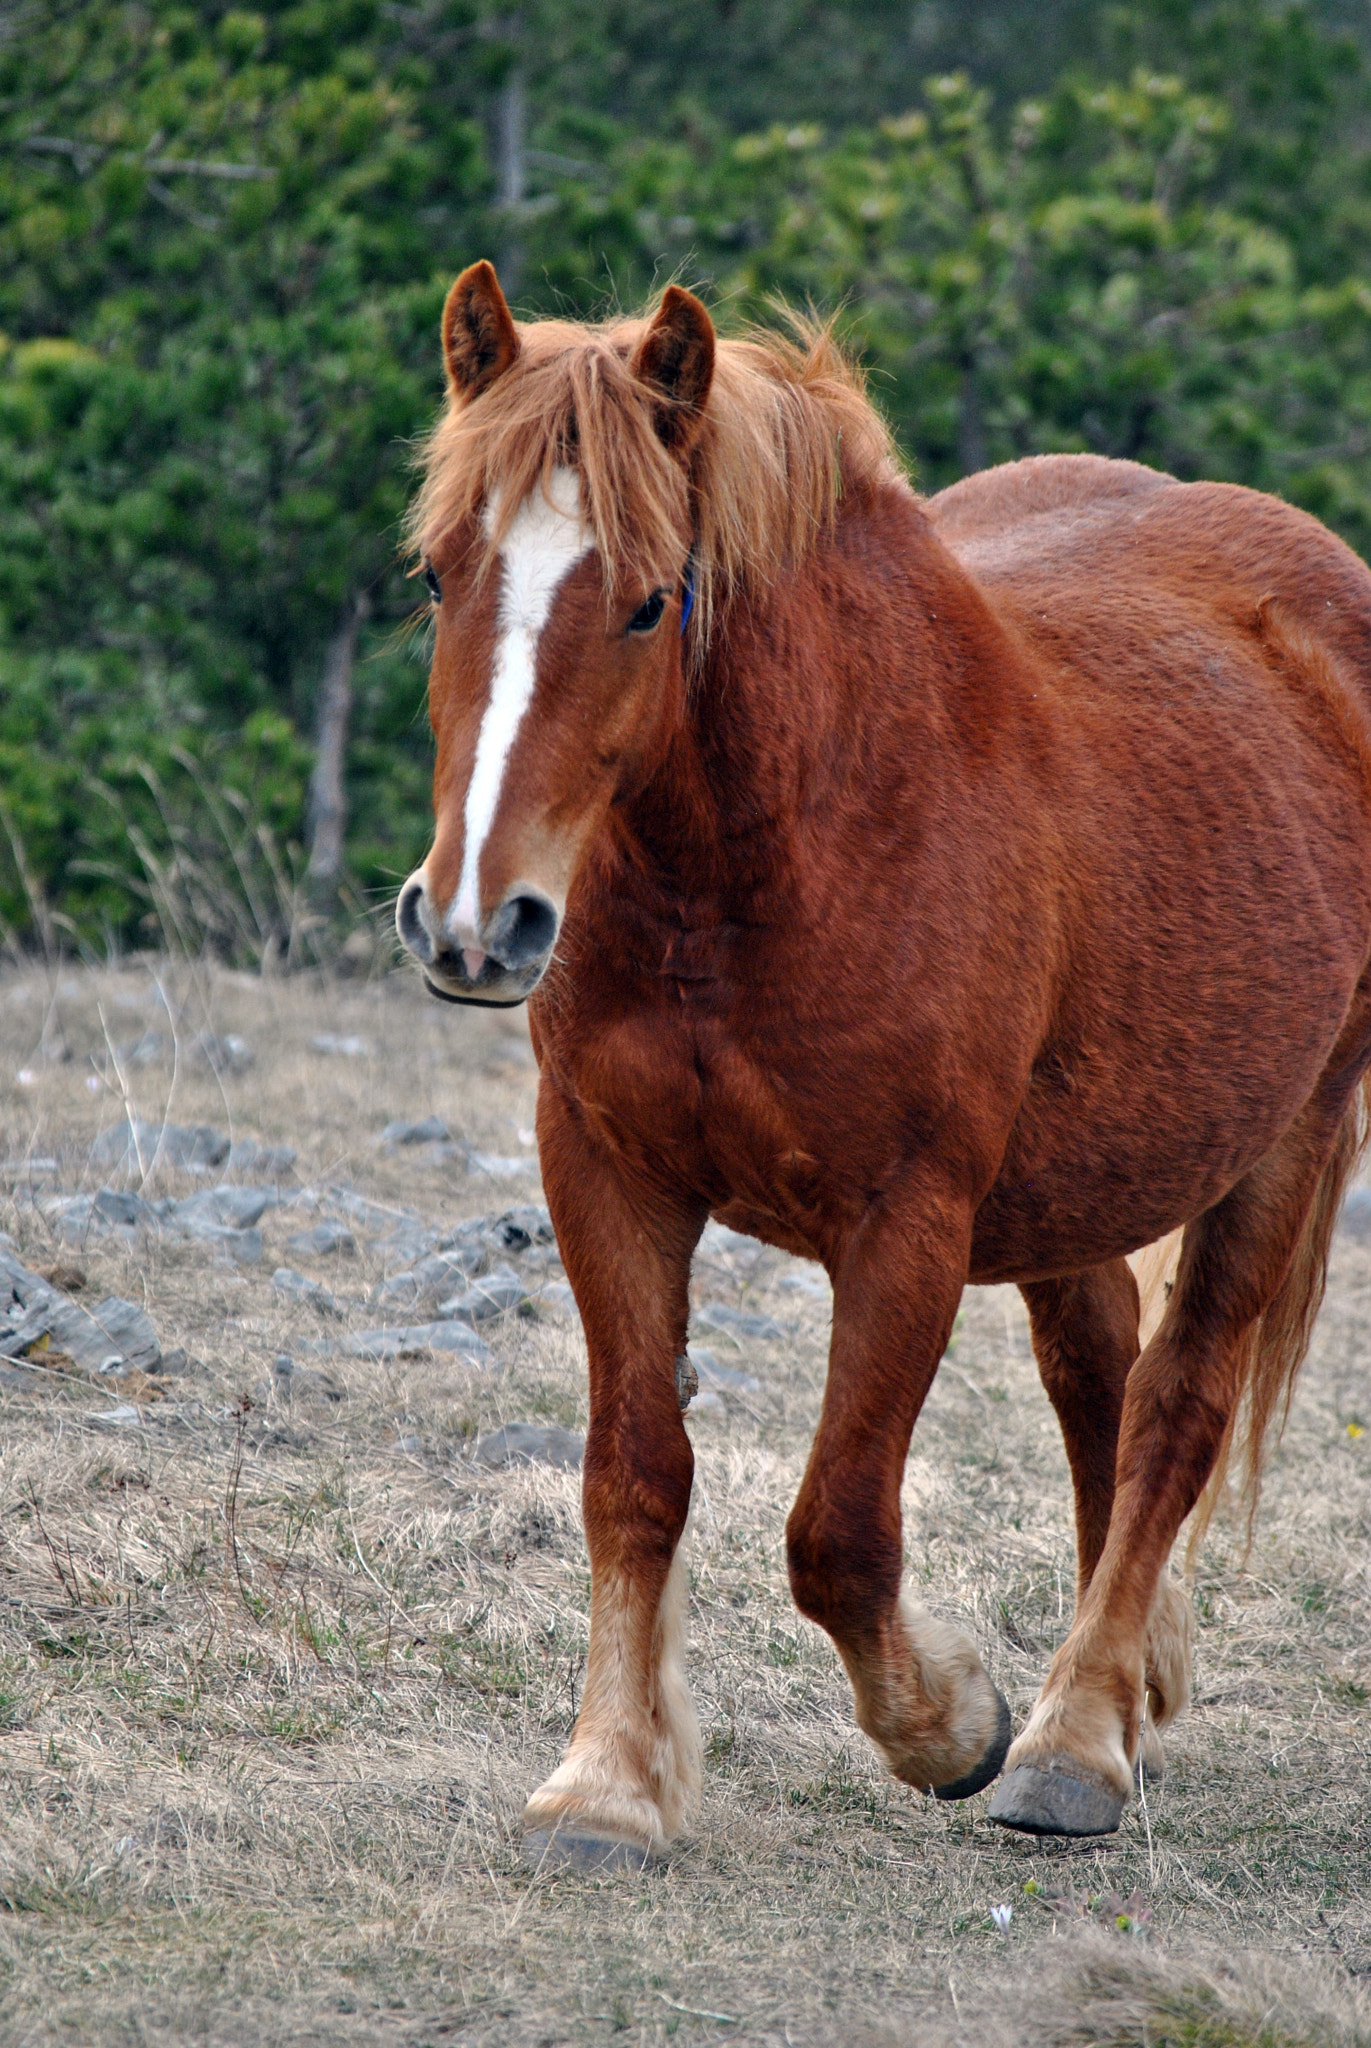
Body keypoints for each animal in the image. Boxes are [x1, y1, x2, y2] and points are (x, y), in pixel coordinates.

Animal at [395, 260, 1371, 1865]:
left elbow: (838, 1535)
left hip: (1285, 1138)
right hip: (1083, 1176)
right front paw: (606, 1781)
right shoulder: (606, 1176)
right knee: (1095, 1375)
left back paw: (1072, 1739)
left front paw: (952, 1724)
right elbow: (632, 1476)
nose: (476, 923)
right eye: (435, 577)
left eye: (651, 601)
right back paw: (1131, 1687)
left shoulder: (905, 1226)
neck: (767, 863)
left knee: (1174, 1404)